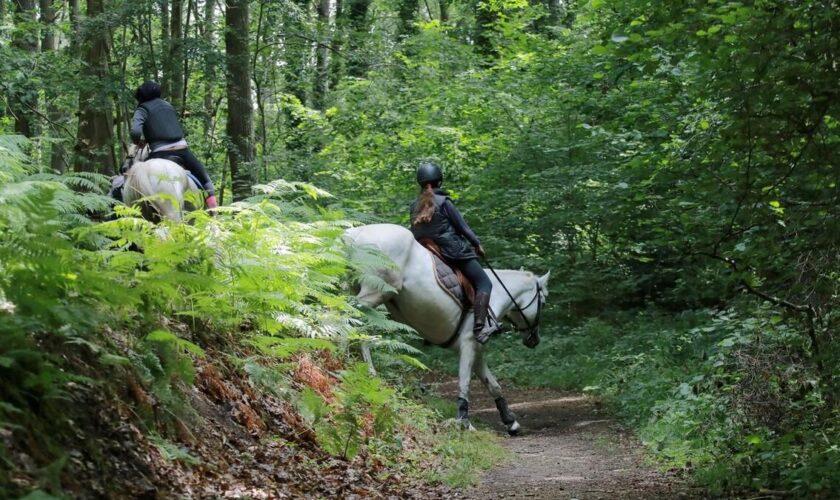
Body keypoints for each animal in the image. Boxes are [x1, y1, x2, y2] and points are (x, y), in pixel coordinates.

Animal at [344, 224, 548, 434]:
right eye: (543, 302)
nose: (534, 339)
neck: (497, 294)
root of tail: (355, 233)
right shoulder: (469, 344)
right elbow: (464, 382)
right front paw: (464, 422)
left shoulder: (477, 350)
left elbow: (493, 385)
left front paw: (510, 421)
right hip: (374, 293)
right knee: (348, 322)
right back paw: (364, 370)